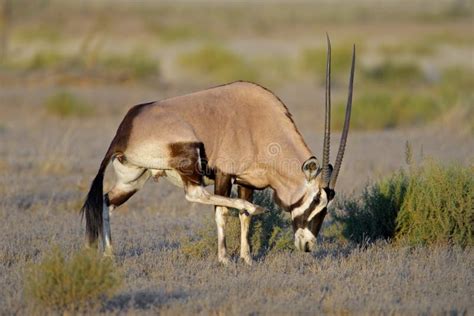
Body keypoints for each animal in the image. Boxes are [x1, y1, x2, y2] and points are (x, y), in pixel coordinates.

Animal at [82, 36, 356, 264]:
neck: (262, 124)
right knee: (195, 194)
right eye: (315, 201)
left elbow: (244, 217)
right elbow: (223, 211)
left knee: (106, 201)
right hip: (190, 154)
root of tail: (127, 127)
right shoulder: (225, 174)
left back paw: (108, 254)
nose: (308, 245)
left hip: (134, 178)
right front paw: (225, 258)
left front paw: (247, 258)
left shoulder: (248, 181)